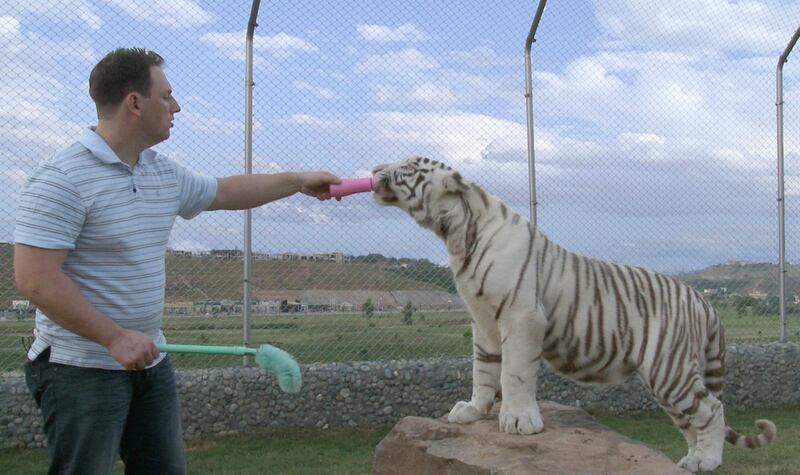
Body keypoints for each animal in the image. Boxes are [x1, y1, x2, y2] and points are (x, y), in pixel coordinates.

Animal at [374, 156, 776, 472]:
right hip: (670, 379)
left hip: (669, 368)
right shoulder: (483, 321)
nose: (375, 170)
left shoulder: (522, 317)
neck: (456, 232)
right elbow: (483, 370)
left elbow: (513, 374)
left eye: (408, 167)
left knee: (712, 410)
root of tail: (703, 301)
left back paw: (707, 460)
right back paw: (691, 460)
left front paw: (518, 421)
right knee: (692, 419)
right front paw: (473, 410)